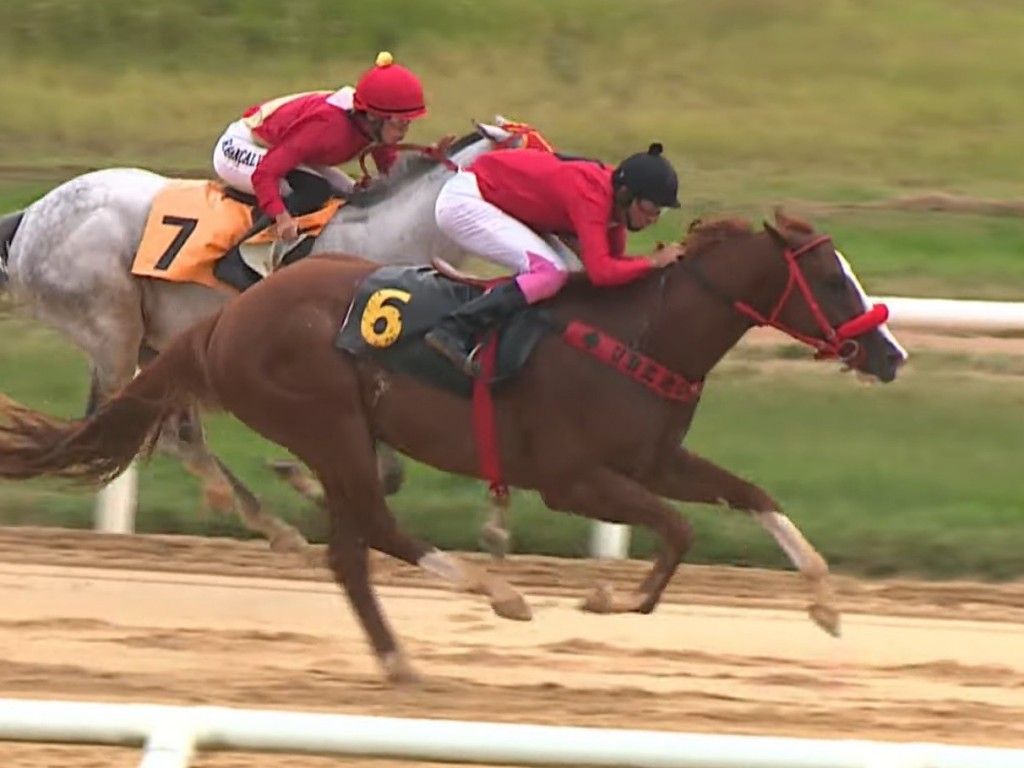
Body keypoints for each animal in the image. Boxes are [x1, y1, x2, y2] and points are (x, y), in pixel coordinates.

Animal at [0, 118, 536, 561]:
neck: (382, 242)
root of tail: (30, 218)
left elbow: (406, 462)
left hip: (156, 341)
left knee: (173, 432)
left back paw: (268, 523)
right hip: (112, 326)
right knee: (138, 425)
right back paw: (264, 520)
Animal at [0, 210, 905, 684]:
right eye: (832, 279)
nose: (889, 354)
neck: (637, 335)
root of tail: (226, 319)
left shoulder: (654, 461)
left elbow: (754, 495)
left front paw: (826, 604)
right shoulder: (572, 478)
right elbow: (678, 532)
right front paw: (612, 599)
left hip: (341, 432)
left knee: (357, 541)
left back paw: (425, 632)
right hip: (328, 422)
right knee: (365, 537)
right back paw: (472, 606)